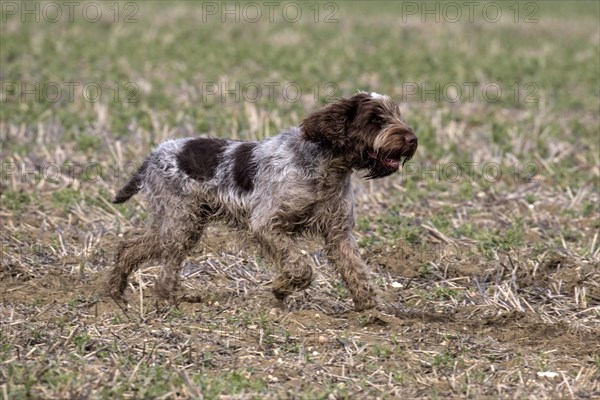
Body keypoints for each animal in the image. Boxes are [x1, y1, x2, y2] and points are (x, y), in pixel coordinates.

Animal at [106, 92, 418, 310]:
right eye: (375, 120)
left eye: (397, 114)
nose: (413, 139)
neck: (327, 168)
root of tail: (154, 154)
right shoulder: (266, 225)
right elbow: (300, 266)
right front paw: (281, 287)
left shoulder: (339, 233)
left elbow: (356, 270)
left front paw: (370, 309)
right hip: (180, 224)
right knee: (155, 260)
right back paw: (160, 299)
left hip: (182, 224)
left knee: (130, 249)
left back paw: (118, 292)